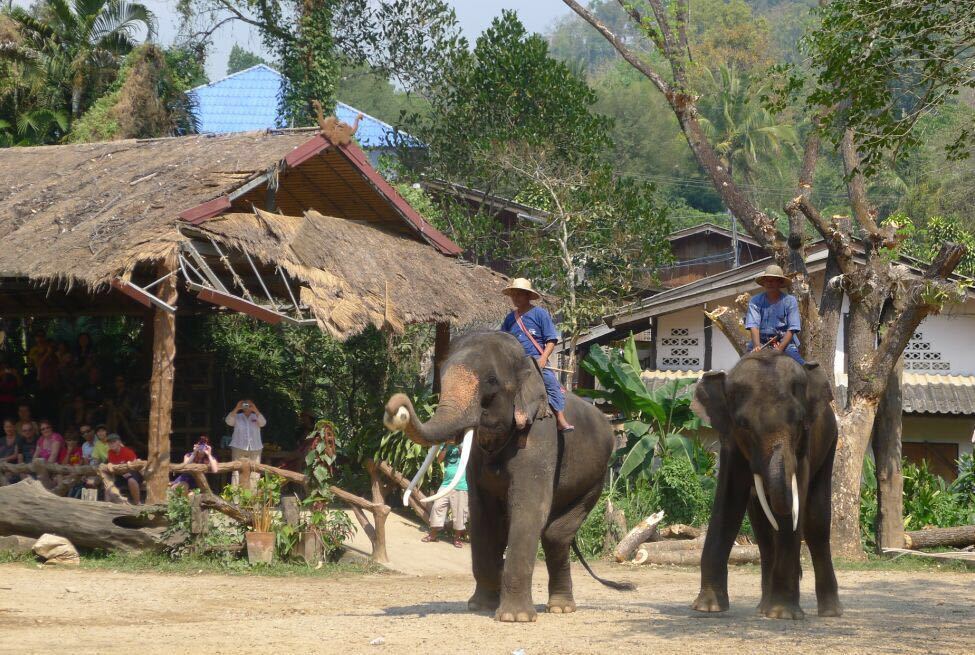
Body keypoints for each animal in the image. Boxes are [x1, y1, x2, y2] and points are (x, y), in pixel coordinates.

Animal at [384, 330, 632, 624]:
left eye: (491, 381)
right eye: (441, 375)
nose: (396, 408)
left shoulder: (540, 435)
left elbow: (527, 510)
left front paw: (515, 617)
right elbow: (484, 514)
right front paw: (480, 606)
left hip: (596, 477)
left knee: (556, 535)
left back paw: (560, 608)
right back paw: (556, 607)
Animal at [692, 348, 844, 620]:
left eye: (799, 421)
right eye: (743, 425)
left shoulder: (803, 449)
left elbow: (793, 510)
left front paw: (783, 614)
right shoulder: (730, 442)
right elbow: (728, 502)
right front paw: (707, 607)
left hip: (831, 441)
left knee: (815, 523)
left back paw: (829, 612)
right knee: (763, 530)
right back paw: (763, 607)